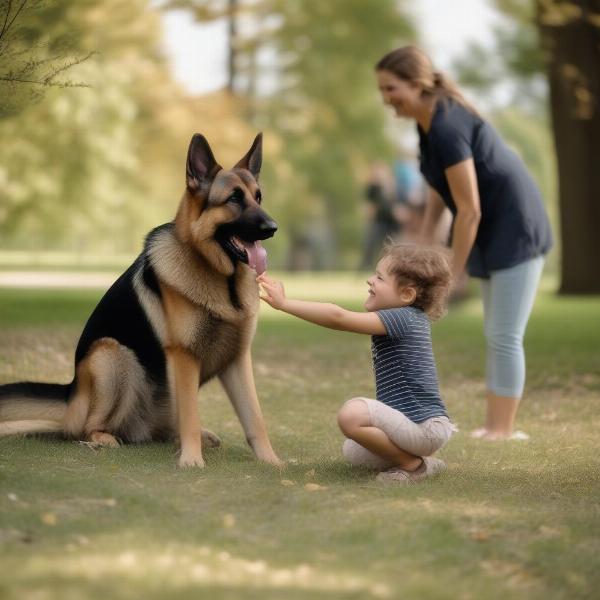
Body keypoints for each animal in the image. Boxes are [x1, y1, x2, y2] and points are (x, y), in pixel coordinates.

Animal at [0, 135, 282, 468]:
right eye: (234, 199)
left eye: (258, 197)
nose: (273, 228)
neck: (224, 283)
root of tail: (71, 393)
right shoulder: (184, 357)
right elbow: (191, 413)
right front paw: (191, 460)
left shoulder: (237, 359)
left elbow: (255, 417)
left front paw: (271, 461)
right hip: (111, 355)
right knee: (86, 428)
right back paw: (104, 438)